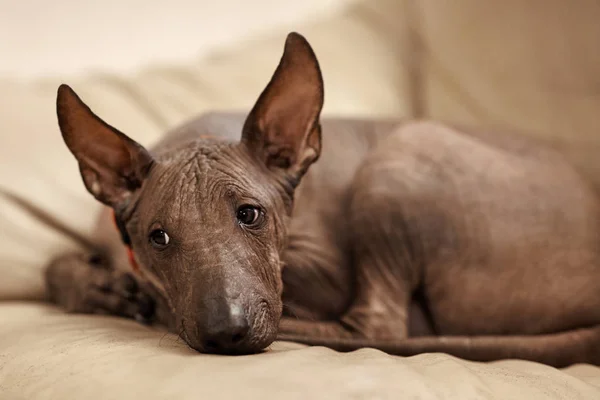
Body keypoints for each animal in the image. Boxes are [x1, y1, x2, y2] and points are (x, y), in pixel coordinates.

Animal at [45, 32, 600, 368]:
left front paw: (130, 293)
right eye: (157, 237)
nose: (227, 333)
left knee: (378, 326)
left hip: (399, 160)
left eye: (250, 215)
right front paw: (97, 286)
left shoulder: (325, 268)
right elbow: (53, 265)